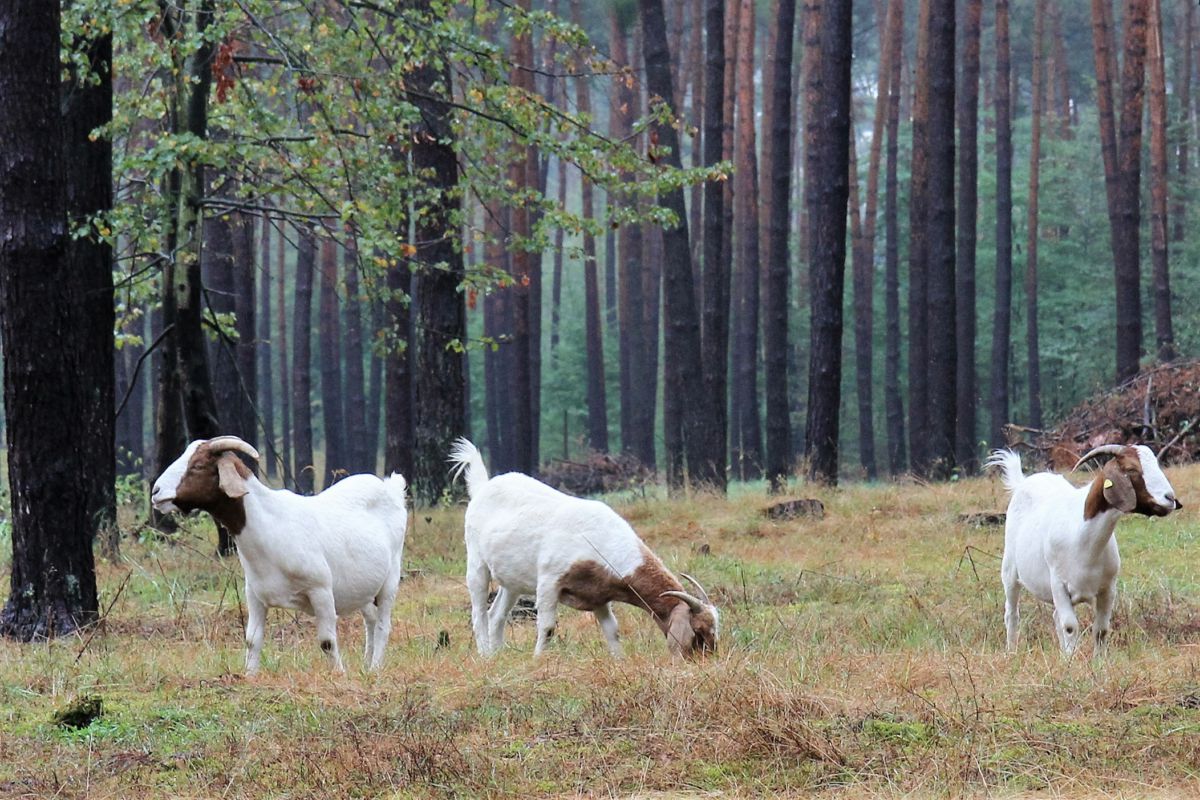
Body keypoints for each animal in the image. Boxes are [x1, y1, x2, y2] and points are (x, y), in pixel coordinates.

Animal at [152, 438, 405, 676]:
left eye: (198, 465)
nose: (156, 492)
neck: (270, 522)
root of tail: (391, 488)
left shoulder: (320, 589)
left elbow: (327, 641)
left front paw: (338, 674)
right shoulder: (254, 594)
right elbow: (252, 640)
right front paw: (249, 675)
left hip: (390, 578)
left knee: (383, 625)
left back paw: (375, 668)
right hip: (363, 588)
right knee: (370, 619)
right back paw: (366, 664)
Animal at [448, 438, 710, 657]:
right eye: (698, 631)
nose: (702, 660)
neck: (600, 538)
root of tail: (483, 488)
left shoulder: (599, 596)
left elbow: (612, 630)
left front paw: (619, 661)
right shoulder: (549, 582)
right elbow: (547, 627)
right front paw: (537, 660)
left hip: (512, 582)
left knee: (496, 615)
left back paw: (498, 654)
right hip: (477, 564)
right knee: (479, 613)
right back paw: (485, 656)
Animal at [984, 443, 1180, 657]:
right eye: (1131, 469)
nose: (1170, 498)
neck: (1083, 537)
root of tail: (1023, 482)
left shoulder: (1108, 588)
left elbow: (1101, 629)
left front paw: (1096, 661)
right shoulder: (1058, 584)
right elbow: (1070, 626)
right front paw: (1071, 660)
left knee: (1055, 617)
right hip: (1010, 571)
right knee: (1012, 613)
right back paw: (1012, 652)